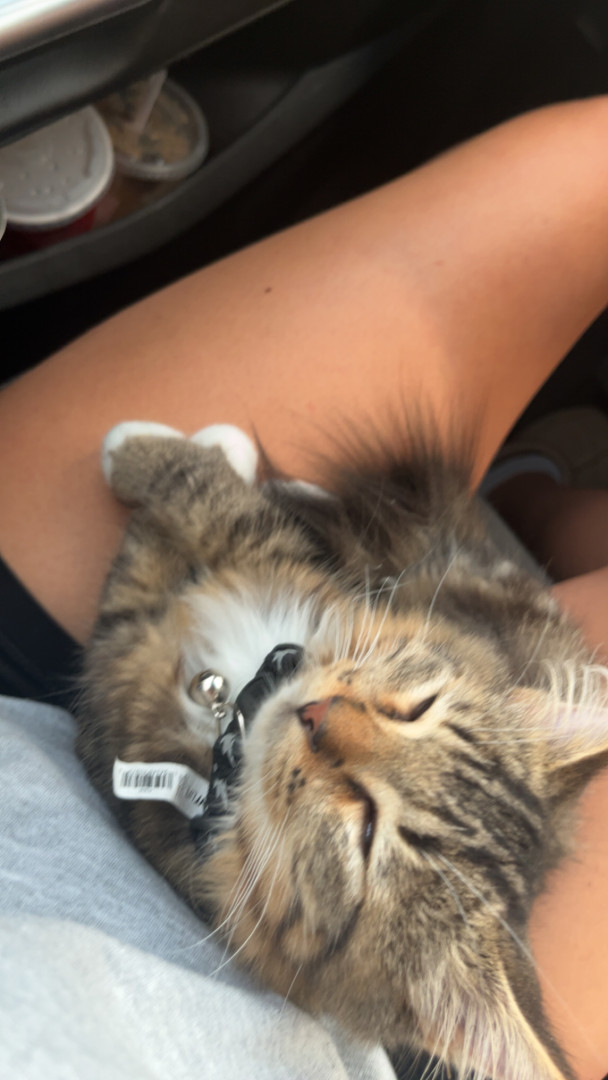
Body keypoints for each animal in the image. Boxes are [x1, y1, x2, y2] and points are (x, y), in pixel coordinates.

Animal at [76, 419, 608, 1080]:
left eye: (364, 829)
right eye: (415, 709)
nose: (316, 715)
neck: (235, 705)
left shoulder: (112, 693)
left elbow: (193, 499)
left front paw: (129, 449)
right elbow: (204, 503)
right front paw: (205, 447)